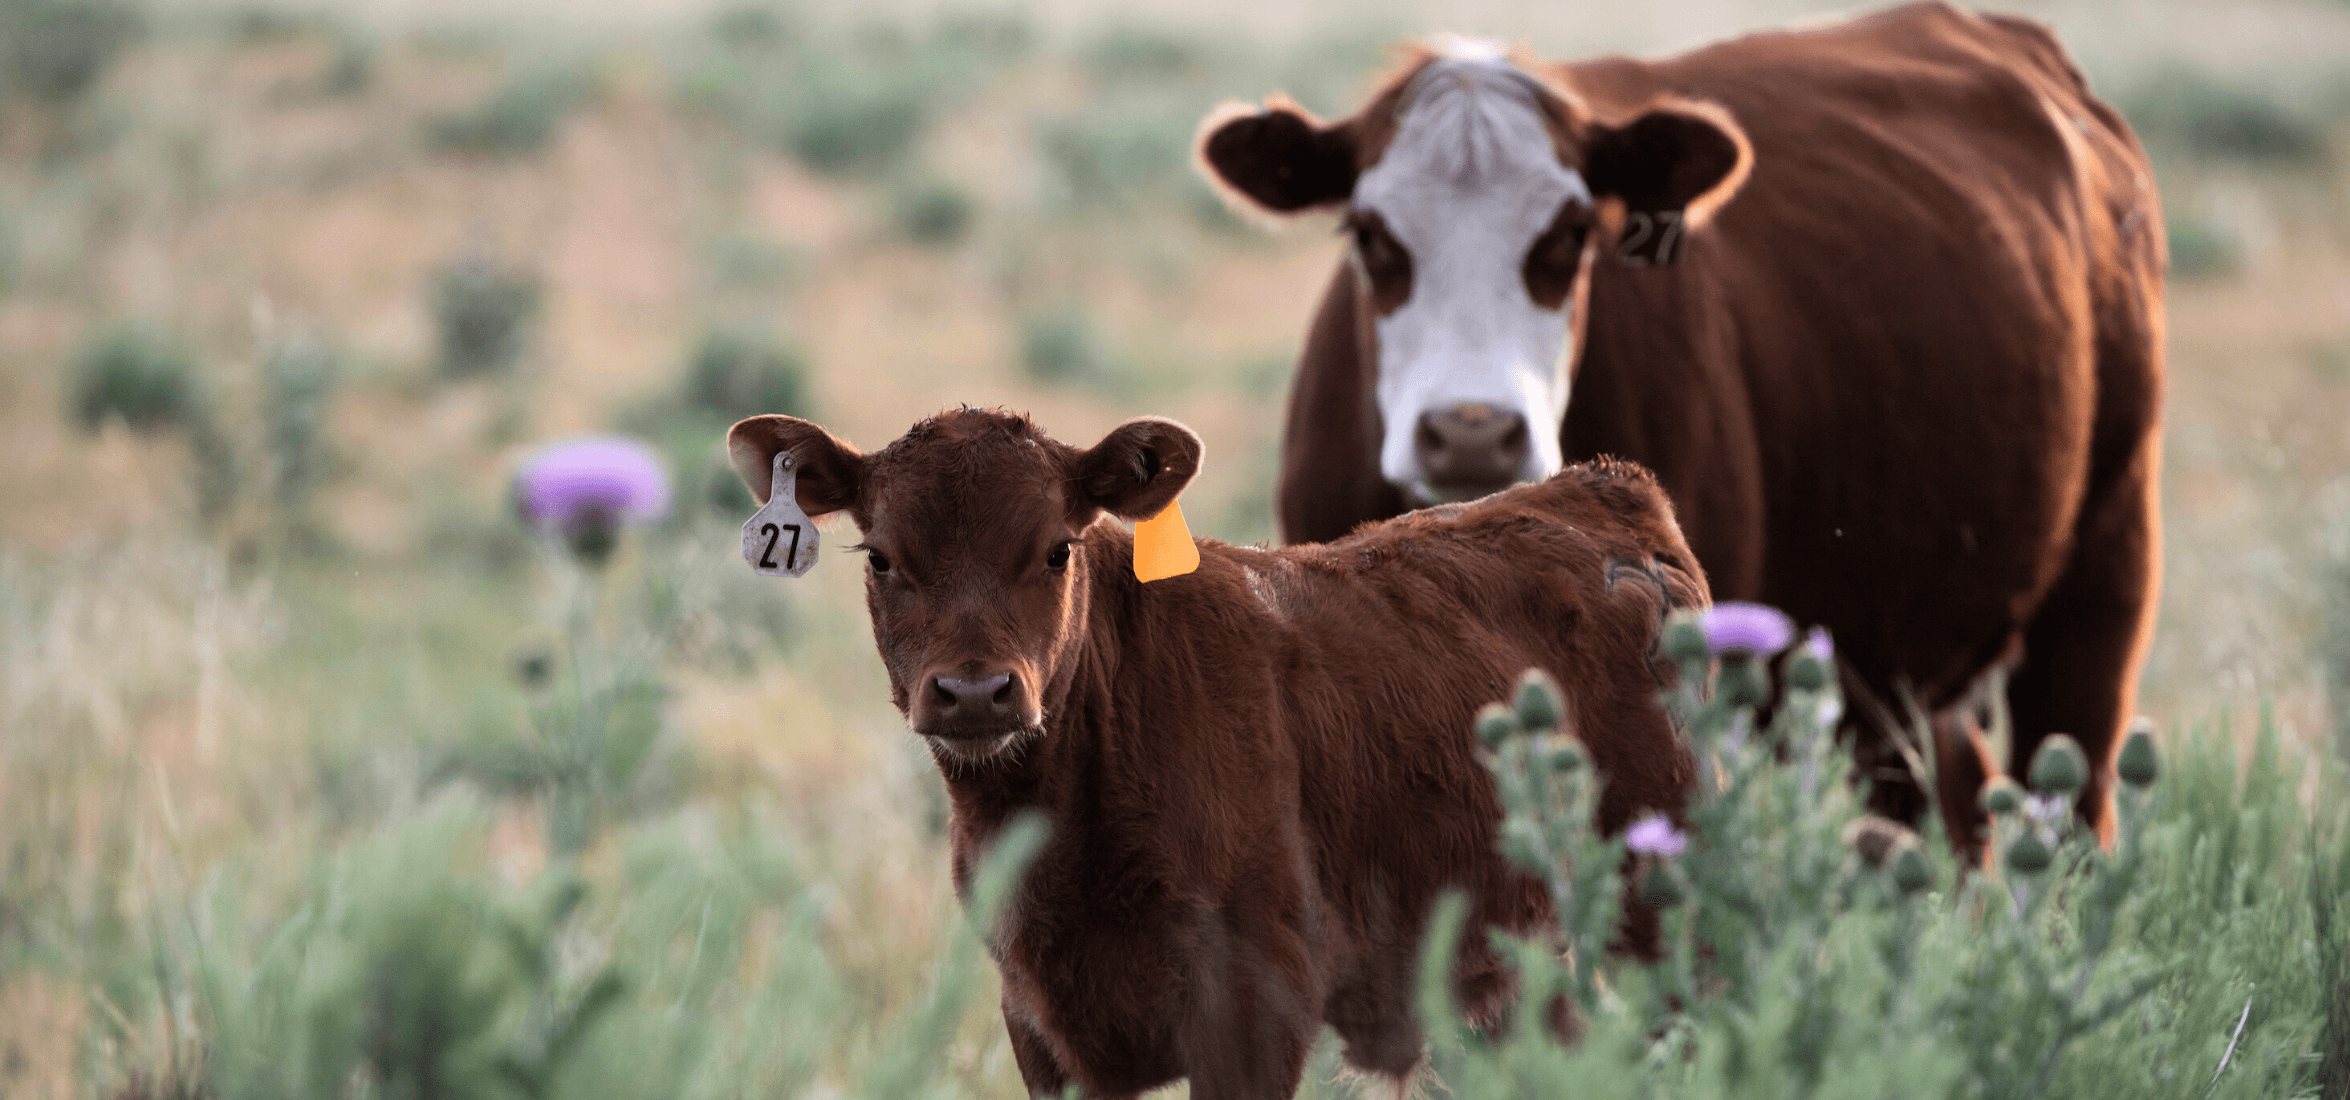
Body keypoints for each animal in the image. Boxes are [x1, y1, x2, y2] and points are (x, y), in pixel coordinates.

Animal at [723, 408, 1701, 1095]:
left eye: (1057, 548)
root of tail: (1600, 484)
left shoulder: (1253, 1003)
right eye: (881, 557)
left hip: (1660, 924)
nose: (973, 693)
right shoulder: (1042, 1025)